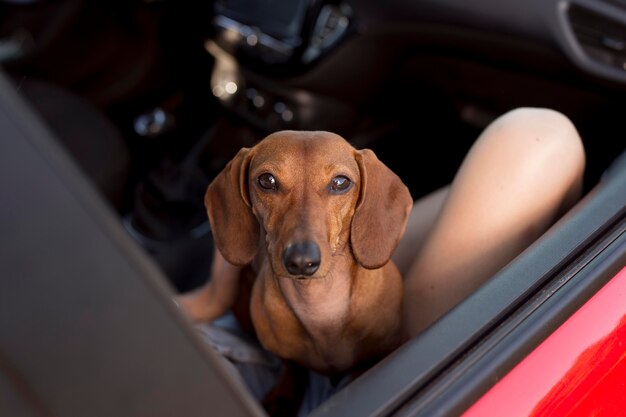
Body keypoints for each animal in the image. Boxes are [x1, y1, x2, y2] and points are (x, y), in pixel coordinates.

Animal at [178, 129, 412, 412]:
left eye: (341, 182)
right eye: (266, 180)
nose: (301, 261)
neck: (319, 304)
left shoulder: (390, 347)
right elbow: (292, 366)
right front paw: (283, 395)